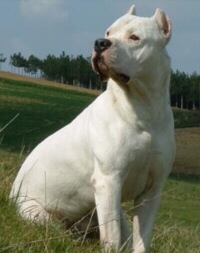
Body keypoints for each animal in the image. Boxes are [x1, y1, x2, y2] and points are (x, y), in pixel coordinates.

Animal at [10, 6, 175, 253]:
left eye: (134, 37)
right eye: (108, 32)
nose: (100, 43)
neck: (143, 108)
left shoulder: (152, 190)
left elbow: (142, 238)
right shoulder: (109, 180)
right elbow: (112, 236)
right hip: (40, 214)